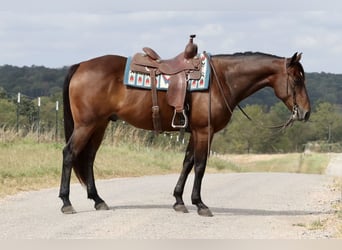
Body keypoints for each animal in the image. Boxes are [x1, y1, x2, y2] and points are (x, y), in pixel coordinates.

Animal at [58, 51, 310, 217]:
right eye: (297, 79)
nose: (305, 113)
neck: (222, 80)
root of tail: (80, 65)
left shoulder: (194, 132)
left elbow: (187, 163)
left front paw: (179, 200)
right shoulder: (204, 131)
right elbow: (200, 165)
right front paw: (200, 204)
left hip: (98, 125)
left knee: (88, 159)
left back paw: (98, 200)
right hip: (86, 125)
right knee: (69, 154)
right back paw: (66, 202)